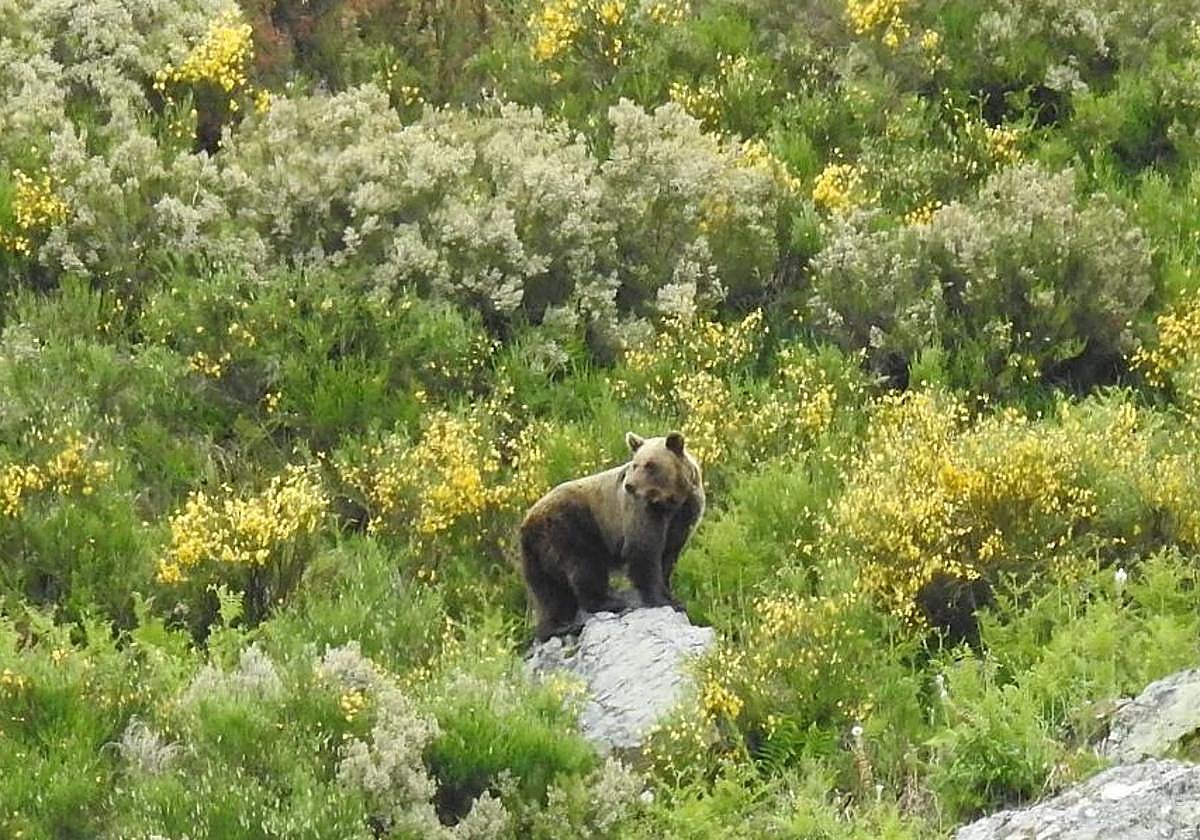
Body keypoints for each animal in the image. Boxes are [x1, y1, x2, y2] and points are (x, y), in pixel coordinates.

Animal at [519, 430, 705, 641]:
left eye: (650, 465)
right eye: (635, 464)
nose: (630, 485)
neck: (671, 501)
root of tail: (528, 522)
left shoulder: (684, 516)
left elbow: (668, 556)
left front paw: (670, 592)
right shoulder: (642, 511)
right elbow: (644, 552)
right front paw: (666, 600)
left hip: (536, 555)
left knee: (549, 592)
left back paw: (558, 626)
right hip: (570, 527)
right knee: (585, 566)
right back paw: (609, 602)